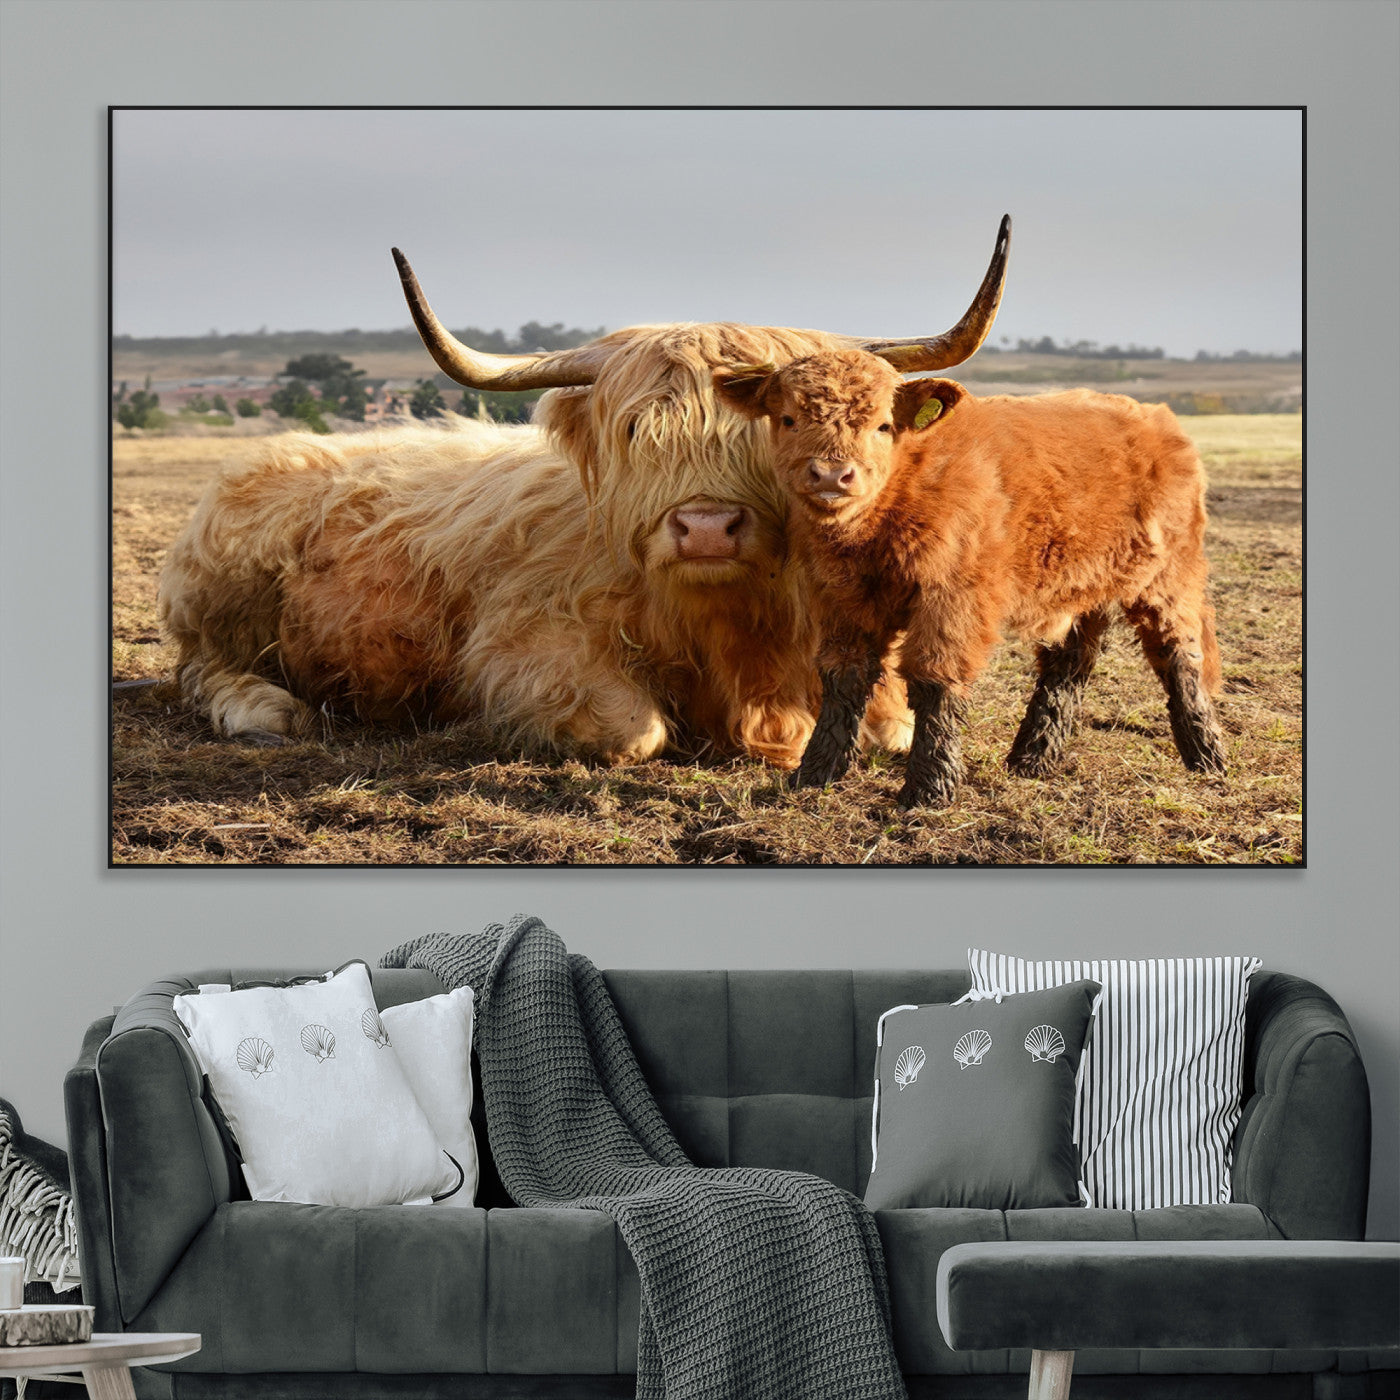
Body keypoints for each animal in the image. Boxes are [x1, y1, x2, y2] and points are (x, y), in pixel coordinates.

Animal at [157, 220, 1011, 768]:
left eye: (774, 426)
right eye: (636, 430)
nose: (706, 528)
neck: (735, 626)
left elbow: (892, 728)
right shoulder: (521, 648)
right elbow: (634, 730)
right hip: (223, 602)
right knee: (200, 670)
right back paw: (266, 713)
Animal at [712, 349, 1227, 808]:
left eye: (882, 425)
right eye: (788, 419)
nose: (832, 475)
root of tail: (1158, 418)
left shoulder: (953, 598)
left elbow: (934, 680)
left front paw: (929, 789)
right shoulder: (842, 598)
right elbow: (844, 677)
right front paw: (814, 776)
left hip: (1168, 578)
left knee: (1179, 655)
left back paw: (1208, 758)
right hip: (1081, 586)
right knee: (1069, 665)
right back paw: (1032, 758)